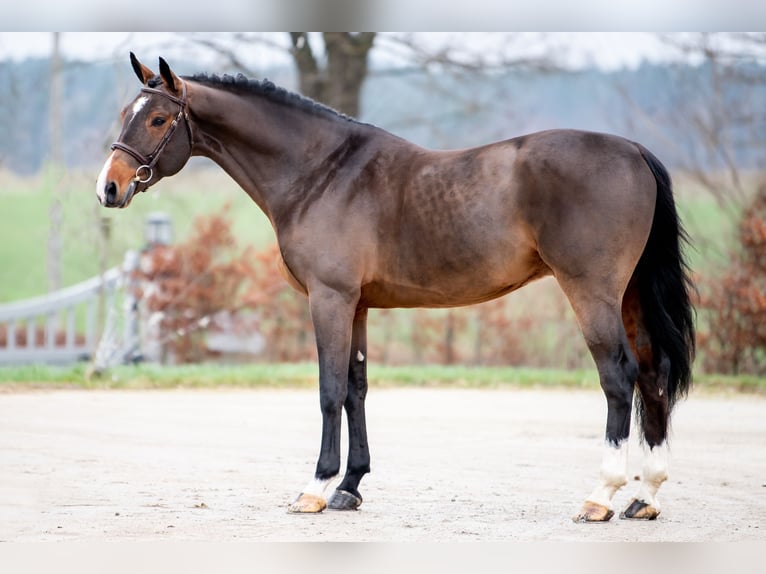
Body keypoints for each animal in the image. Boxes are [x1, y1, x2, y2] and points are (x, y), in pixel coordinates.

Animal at [96, 55, 696, 528]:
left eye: (157, 117)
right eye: (126, 113)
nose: (109, 187)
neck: (321, 173)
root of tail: (634, 151)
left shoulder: (329, 298)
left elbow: (329, 390)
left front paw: (315, 488)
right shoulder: (357, 304)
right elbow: (357, 389)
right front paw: (349, 488)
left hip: (592, 293)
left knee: (618, 377)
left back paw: (601, 496)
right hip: (629, 296)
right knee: (652, 374)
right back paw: (645, 497)